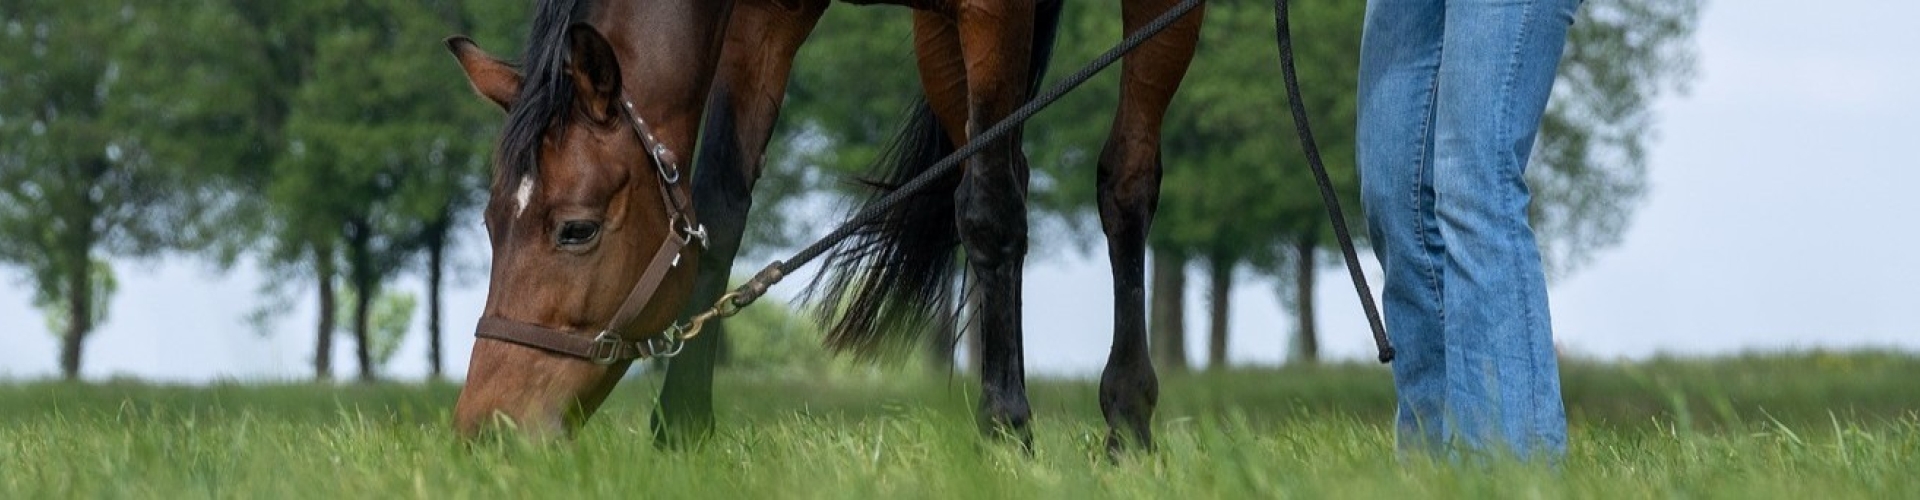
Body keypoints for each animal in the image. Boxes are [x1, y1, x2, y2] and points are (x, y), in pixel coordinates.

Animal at [448, 0, 1204, 453]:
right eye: (488, 223)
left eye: (575, 230)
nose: (486, 430)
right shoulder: (765, 16)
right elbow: (720, 209)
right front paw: (681, 431)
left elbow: (990, 213)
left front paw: (1004, 431)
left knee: (1123, 182)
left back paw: (1128, 420)